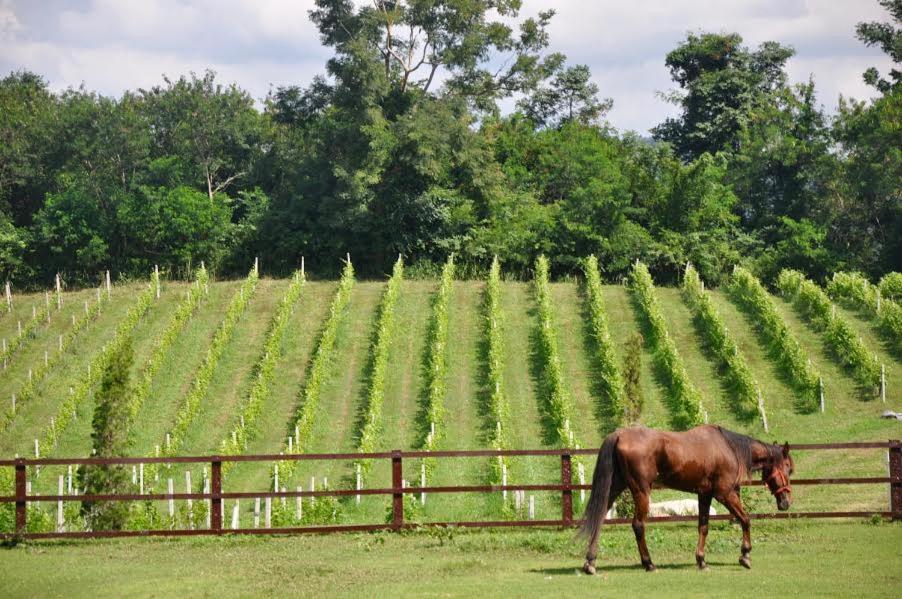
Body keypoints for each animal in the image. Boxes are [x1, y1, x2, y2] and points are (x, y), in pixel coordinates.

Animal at [584, 424, 796, 576]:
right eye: (788, 468)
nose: (786, 502)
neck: (729, 447)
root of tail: (619, 434)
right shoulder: (725, 494)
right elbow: (745, 519)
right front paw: (745, 555)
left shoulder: (704, 495)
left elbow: (703, 527)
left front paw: (701, 561)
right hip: (641, 491)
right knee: (638, 525)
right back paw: (649, 563)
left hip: (614, 488)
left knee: (599, 519)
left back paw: (590, 562)